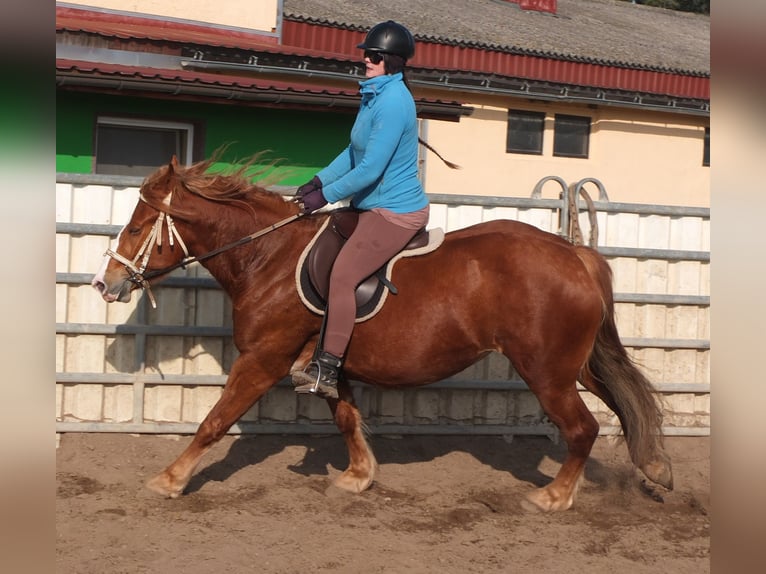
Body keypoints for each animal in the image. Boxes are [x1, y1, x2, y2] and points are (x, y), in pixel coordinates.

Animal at [93, 156, 676, 512]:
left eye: (139, 226)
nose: (107, 283)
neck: (270, 258)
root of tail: (574, 253)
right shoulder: (328, 363)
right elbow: (347, 418)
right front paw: (357, 477)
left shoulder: (263, 358)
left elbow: (214, 421)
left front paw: (170, 479)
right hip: (573, 364)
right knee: (621, 401)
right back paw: (655, 467)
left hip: (547, 371)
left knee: (582, 428)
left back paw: (553, 496)